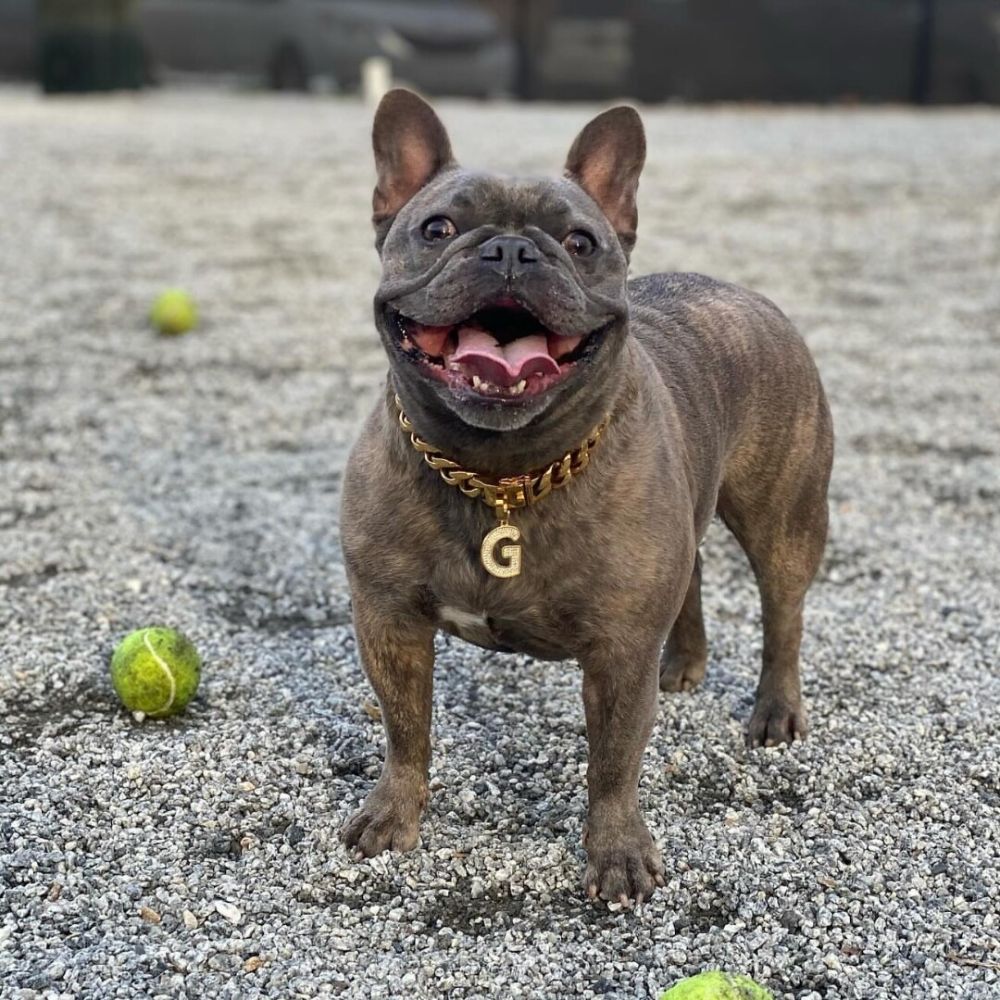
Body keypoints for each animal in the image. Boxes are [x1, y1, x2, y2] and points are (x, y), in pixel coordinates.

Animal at [340, 92, 832, 908]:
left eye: (579, 241)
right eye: (436, 228)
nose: (511, 250)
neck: (502, 470)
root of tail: (746, 294)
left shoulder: (619, 653)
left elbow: (613, 761)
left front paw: (618, 853)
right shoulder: (389, 620)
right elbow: (406, 729)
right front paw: (393, 813)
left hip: (783, 520)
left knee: (783, 615)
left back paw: (777, 711)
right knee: (694, 572)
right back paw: (685, 663)